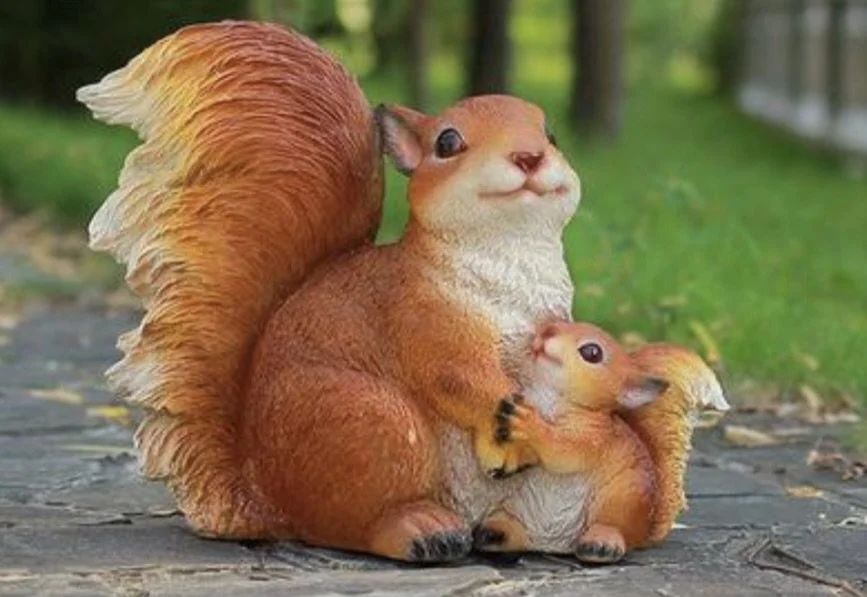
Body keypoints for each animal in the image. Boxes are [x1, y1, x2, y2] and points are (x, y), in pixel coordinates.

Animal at [476, 320, 728, 562]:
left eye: (592, 352)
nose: (547, 330)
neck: (551, 400)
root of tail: (554, 544)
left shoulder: (595, 439)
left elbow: (561, 451)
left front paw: (527, 421)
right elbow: (529, 455)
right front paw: (510, 459)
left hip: (620, 501)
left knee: (614, 528)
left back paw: (602, 544)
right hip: (514, 508)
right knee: (517, 534)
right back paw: (495, 533)